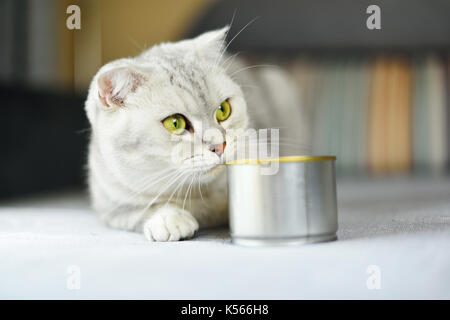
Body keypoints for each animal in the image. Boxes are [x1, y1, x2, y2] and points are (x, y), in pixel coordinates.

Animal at [85, 27, 310, 241]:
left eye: (223, 110)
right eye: (175, 123)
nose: (220, 145)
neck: (200, 193)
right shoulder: (111, 205)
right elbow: (143, 209)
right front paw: (169, 218)